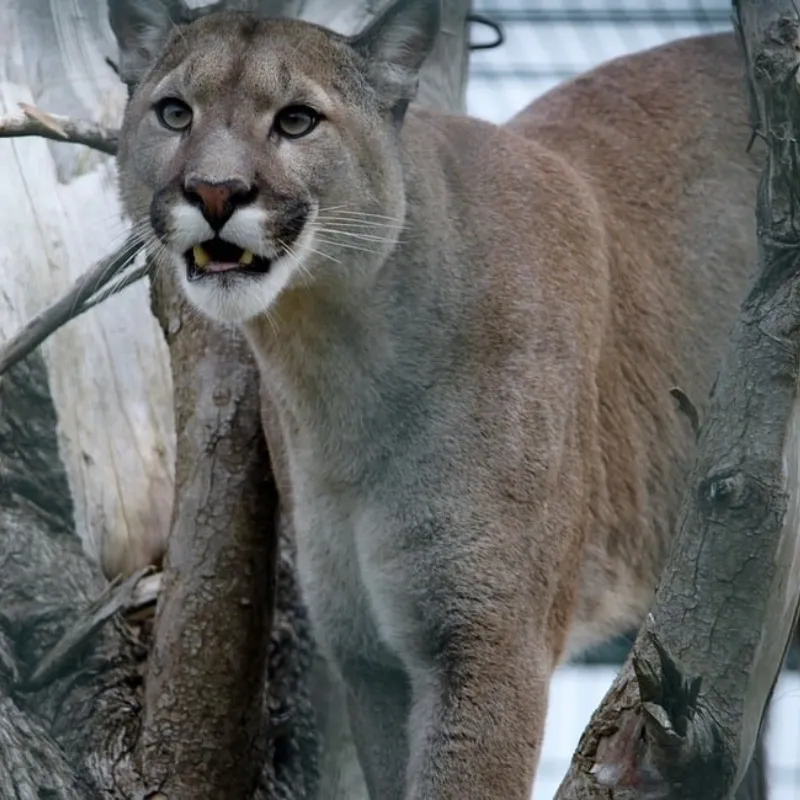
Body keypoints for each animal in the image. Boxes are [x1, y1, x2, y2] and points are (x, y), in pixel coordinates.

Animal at [109, 0, 760, 796]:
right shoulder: (369, 656)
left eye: (296, 121)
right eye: (175, 112)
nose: (214, 191)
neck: (337, 364)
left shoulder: (489, 641)